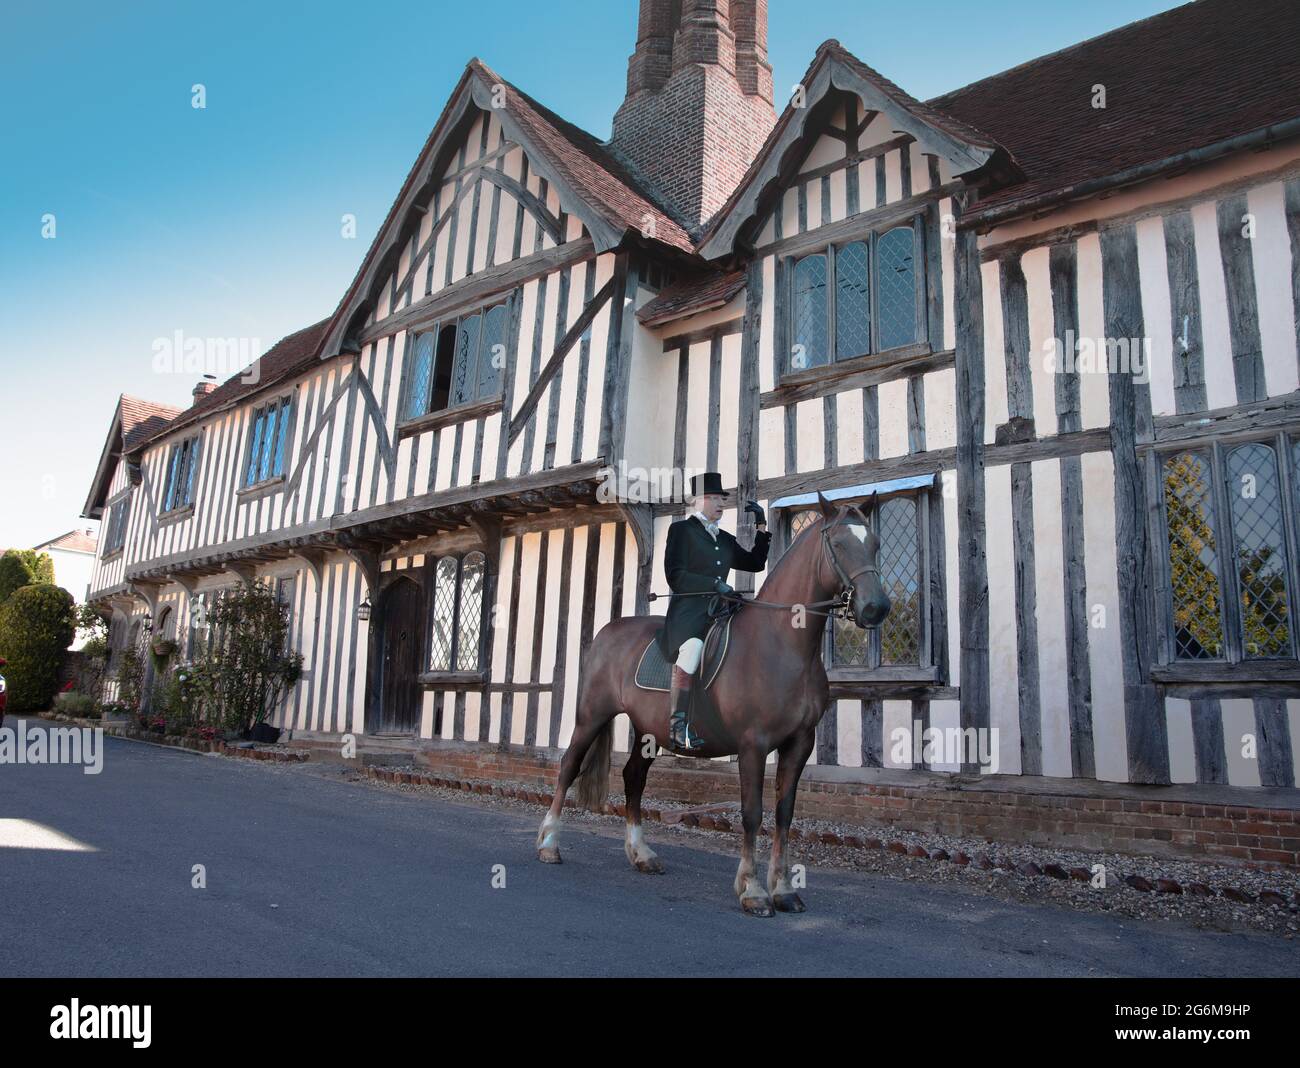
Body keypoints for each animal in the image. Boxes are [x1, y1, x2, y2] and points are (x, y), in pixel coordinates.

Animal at [533, 493, 889, 919]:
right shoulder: (753, 744)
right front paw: (753, 890)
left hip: (648, 731)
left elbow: (784, 814)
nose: (876, 608)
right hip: (591, 716)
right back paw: (549, 844)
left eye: (875, 544)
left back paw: (641, 854)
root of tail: (607, 631)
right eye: (838, 544)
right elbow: (752, 814)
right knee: (568, 768)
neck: (784, 645)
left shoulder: (800, 743)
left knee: (634, 778)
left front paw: (785, 890)